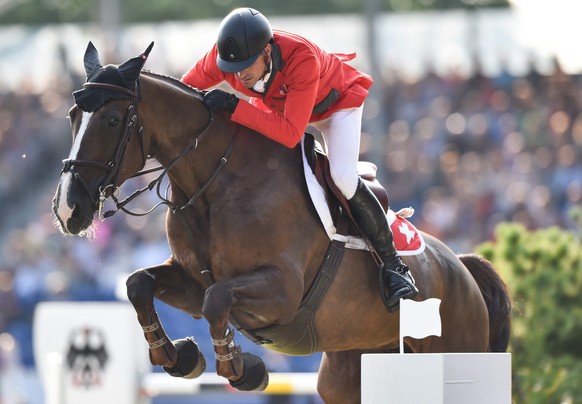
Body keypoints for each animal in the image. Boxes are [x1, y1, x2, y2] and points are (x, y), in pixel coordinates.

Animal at [52, 42, 512, 402]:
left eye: (113, 120)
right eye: (72, 115)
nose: (68, 210)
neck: (215, 180)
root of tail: (460, 266)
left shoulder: (282, 290)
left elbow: (217, 299)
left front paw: (242, 369)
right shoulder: (189, 281)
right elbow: (140, 285)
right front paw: (179, 357)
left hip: (455, 351)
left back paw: (399, 279)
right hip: (351, 370)